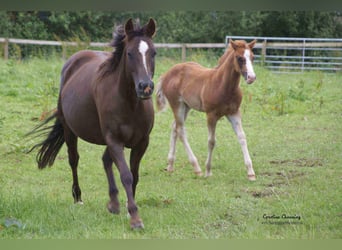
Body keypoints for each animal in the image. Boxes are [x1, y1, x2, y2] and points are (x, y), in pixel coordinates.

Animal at [28, 18, 157, 229]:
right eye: (129, 53)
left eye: (153, 52)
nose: (145, 87)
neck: (130, 103)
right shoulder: (114, 140)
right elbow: (126, 175)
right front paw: (135, 218)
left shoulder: (141, 143)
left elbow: (134, 175)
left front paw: (128, 209)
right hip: (70, 130)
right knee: (74, 160)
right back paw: (78, 197)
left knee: (105, 160)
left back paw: (113, 203)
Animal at [156, 39, 255, 180]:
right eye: (239, 58)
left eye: (252, 57)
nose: (251, 77)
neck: (223, 85)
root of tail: (166, 74)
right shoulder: (211, 115)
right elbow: (211, 141)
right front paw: (208, 171)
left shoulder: (234, 113)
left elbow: (242, 137)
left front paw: (250, 172)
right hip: (177, 105)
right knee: (181, 130)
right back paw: (196, 168)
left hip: (186, 106)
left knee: (174, 127)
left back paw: (170, 165)